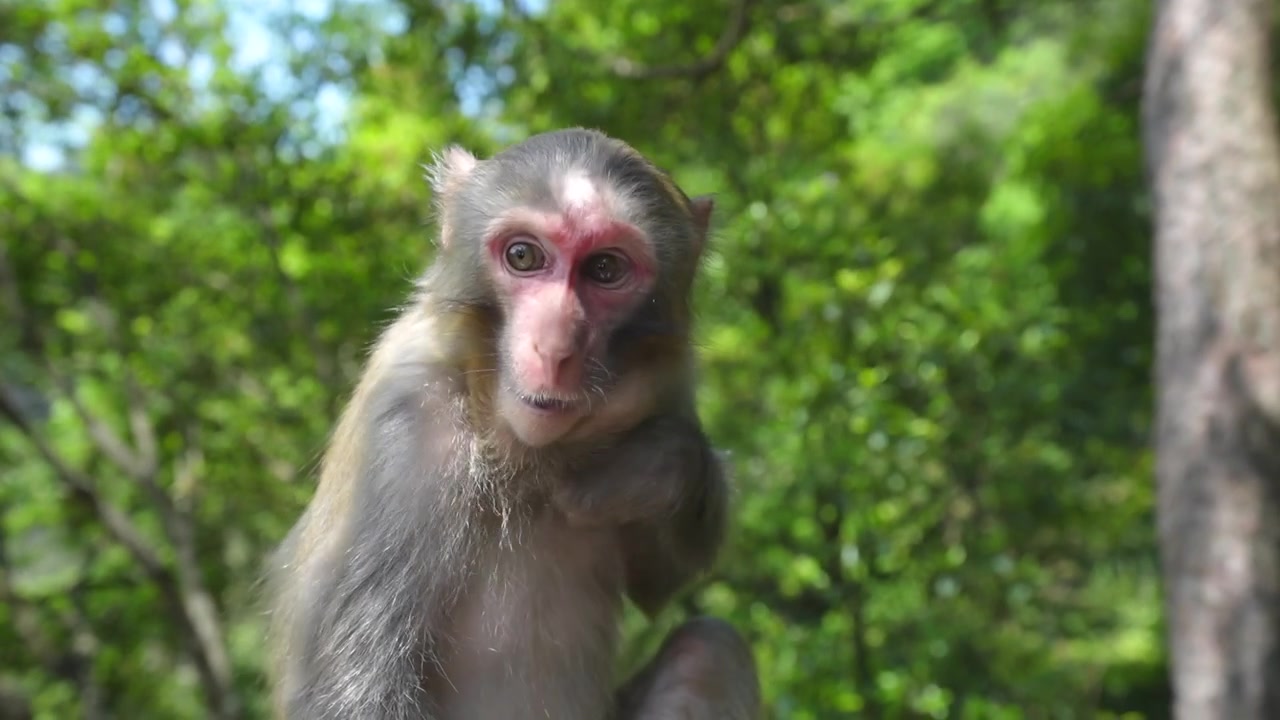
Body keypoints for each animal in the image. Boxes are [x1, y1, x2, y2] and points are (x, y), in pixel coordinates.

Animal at [266, 128, 761, 720]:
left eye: (605, 269)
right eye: (524, 256)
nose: (554, 346)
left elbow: (659, 580)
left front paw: (648, 468)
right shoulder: (408, 444)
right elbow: (355, 692)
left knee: (708, 652)